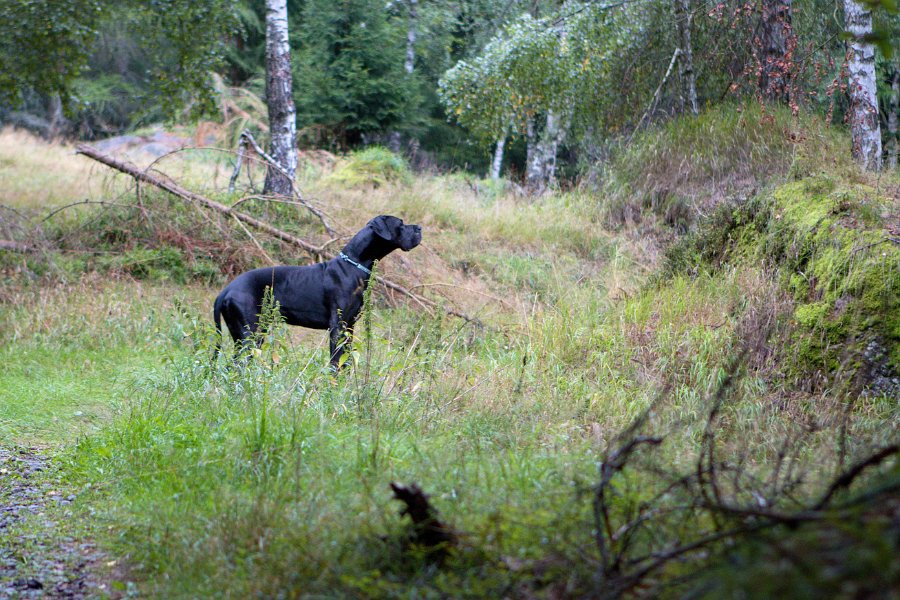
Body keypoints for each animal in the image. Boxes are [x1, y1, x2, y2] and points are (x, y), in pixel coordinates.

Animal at [214, 213, 422, 368]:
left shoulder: (350, 326)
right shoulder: (337, 326)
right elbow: (335, 362)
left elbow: (346, 362)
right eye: (401, 224)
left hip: (245, 333)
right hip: (250, 333)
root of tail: (226, 290)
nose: (420, 228)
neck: (354, 265)